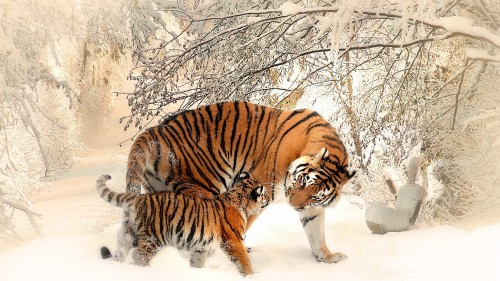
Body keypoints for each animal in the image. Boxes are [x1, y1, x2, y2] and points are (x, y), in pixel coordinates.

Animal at [124, 100, 356, 262]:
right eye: (302, 181)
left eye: (315, 195)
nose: (293, 206)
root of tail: (155, 131)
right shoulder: (261, 185)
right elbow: (241, 223)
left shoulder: (311, 208)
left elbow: (316, 232)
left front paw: (327, 257)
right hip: (203, 186)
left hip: (158, 191)